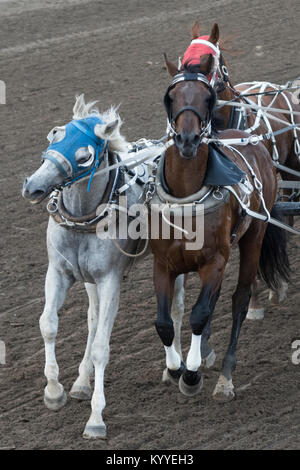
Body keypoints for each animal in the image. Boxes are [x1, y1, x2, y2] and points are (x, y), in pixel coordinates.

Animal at [22, 93, 185, 438]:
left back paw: (177, 364)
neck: (85, 219)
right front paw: (54, 391)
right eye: (54, 134)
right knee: (93, 317)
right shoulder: (58, 272)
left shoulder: (111, 280)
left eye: (84, 156)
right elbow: (49, 324)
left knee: (176, 309)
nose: (33, 187)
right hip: (89, 280)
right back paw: (82, 382)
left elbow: (101, 346)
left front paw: (96, 418)